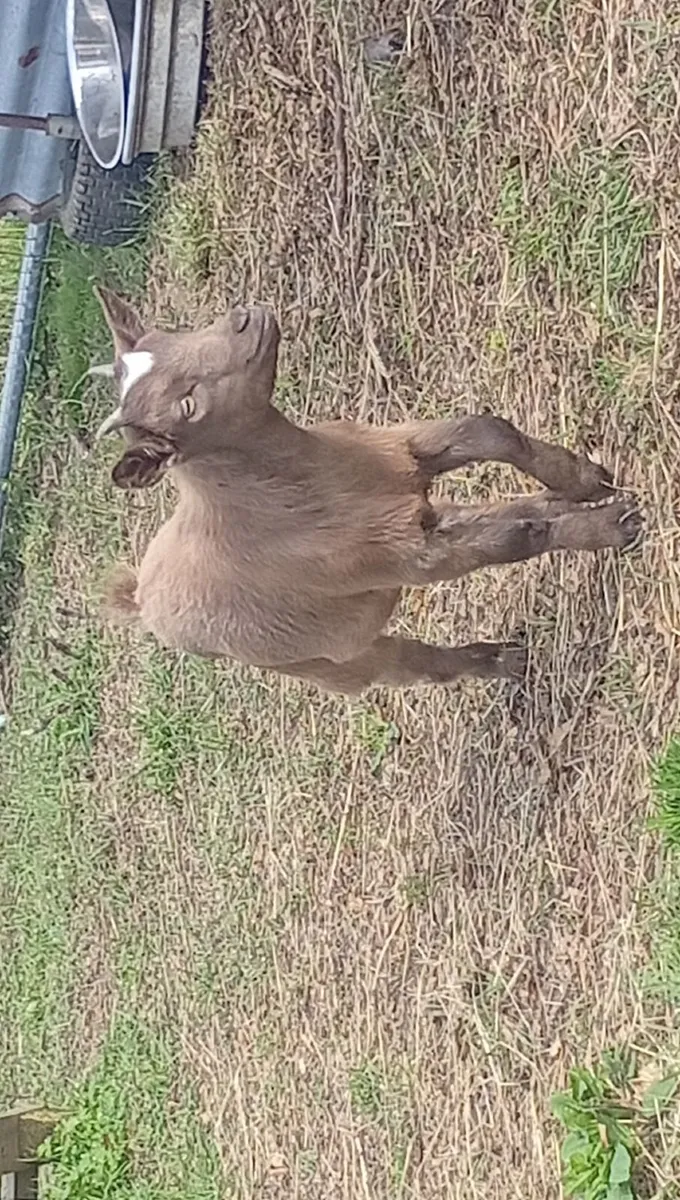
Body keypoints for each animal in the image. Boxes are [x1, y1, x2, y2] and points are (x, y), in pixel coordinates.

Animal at [92, 287, 642, 696]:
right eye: (188, 406)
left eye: (167, 335)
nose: (245, 320)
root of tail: (141, 596)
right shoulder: (411, 556)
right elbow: (514, 540)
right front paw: (613, 526)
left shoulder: (397, 452)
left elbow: (488, 431)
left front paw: (583, 479)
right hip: (327, 660)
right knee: (410, 664)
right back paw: (501, 660)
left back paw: (556, 502)